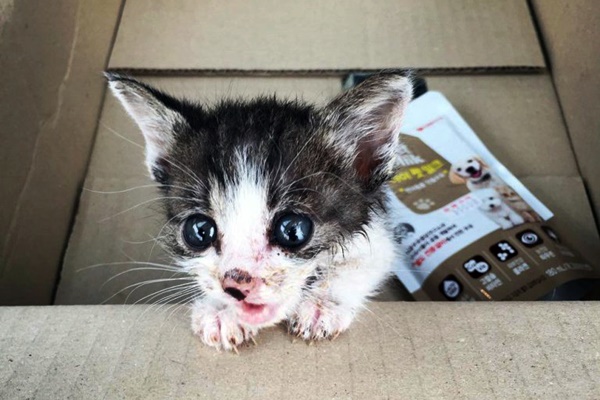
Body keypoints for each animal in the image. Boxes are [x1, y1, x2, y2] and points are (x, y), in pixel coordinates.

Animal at [108, 71, 412, 350]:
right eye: (199, 231)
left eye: (293, 230)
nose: (237, 285)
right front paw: (221, 311)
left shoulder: (380, 233)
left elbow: (365, 262)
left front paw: (321, 305)